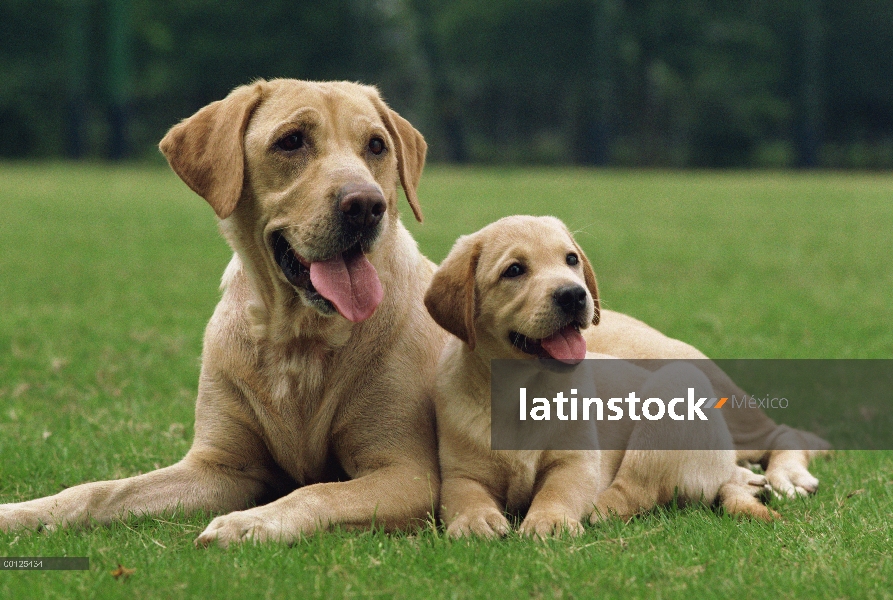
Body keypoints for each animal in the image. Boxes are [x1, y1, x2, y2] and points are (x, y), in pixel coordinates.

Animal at [0, 77, 446, 548]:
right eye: (292, 141)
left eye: (377, 146)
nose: (365, 205)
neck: (295, 337)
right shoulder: (219, 468)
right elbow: (100, 490)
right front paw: (24, 512)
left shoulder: (407, 473)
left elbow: (320, 490)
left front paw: (253, 521)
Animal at [426, 217, 772, 540]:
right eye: (514, 270)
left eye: (571, 259)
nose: (573, 295)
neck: (523, 391)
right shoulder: (461, 473)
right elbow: (464, 495)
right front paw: (473, 519)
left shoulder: (576, 461)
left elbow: (559, 490)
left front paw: (550, 520)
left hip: (672, 390)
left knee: (634, 491)